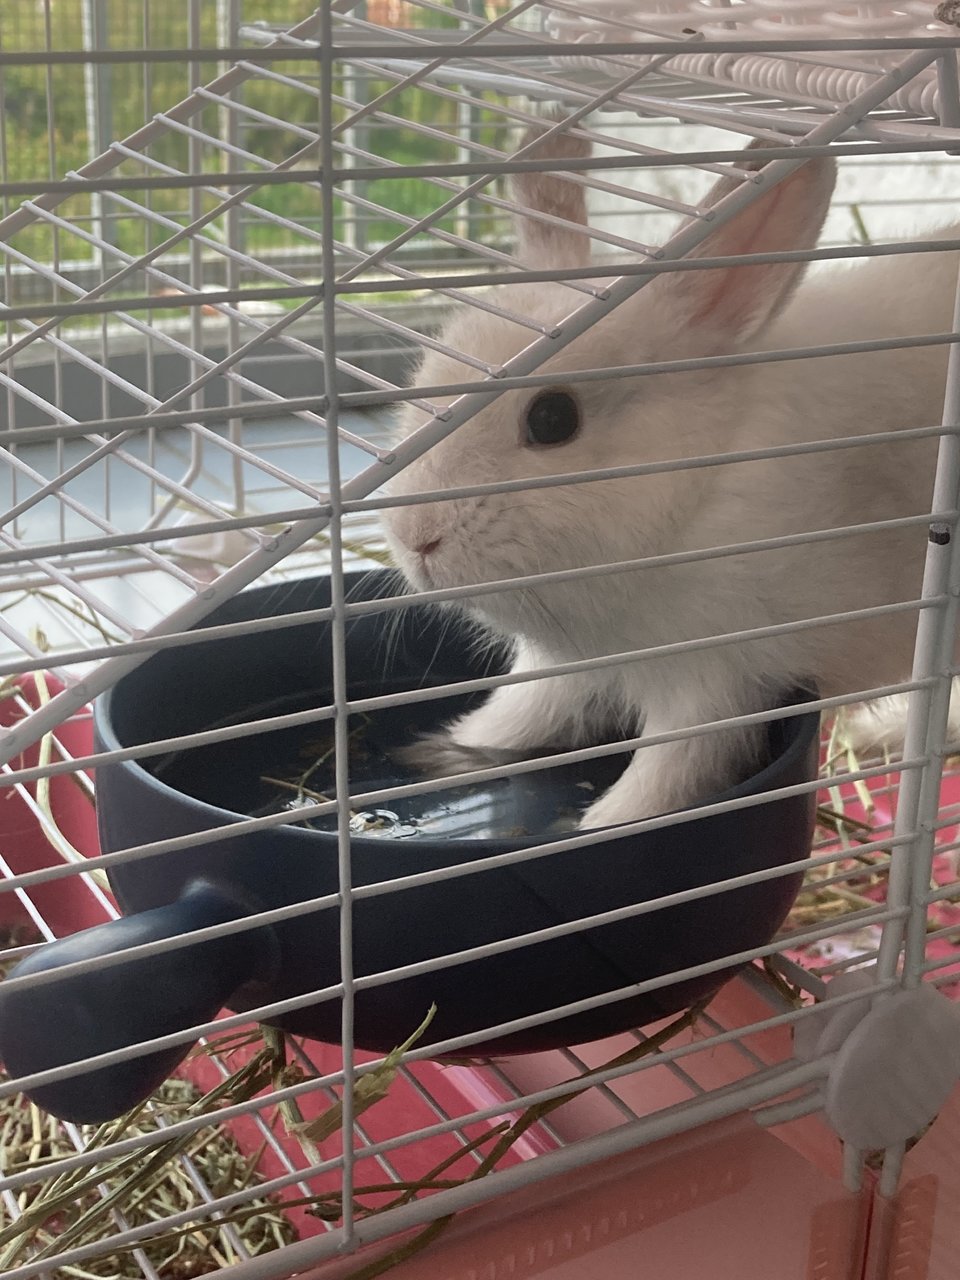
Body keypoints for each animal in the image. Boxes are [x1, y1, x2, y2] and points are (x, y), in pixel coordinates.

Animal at [384, 127, 960, 829]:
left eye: (552, 419)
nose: (415, 538)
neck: (696, 496)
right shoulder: (565, 667)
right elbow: (519, 715)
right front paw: (441, 751)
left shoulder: (715, 676)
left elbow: (667, 771)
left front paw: (597, 827)